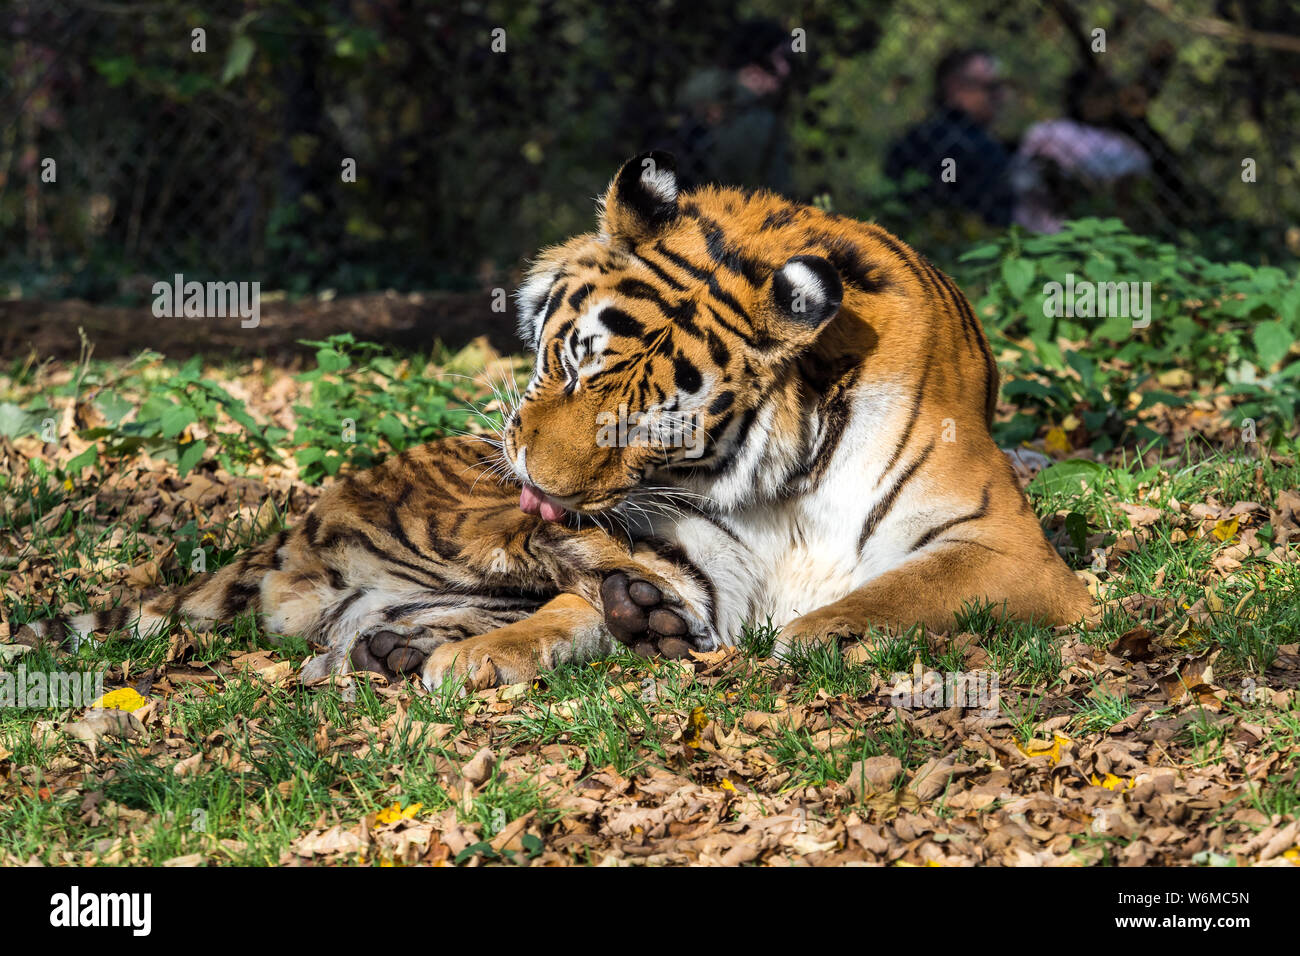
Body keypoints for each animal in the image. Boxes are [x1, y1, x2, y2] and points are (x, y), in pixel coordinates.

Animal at [20, 151, 1091, 692]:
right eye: (571, 360)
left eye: (652, 426)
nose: (538, 479)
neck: (783, 478)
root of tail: (291, 527)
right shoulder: (693, 550)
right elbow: (571, 612)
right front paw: (510, 655)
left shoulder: (1004, 549)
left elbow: (884, 595)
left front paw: (805, 631)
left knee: (357, 625)